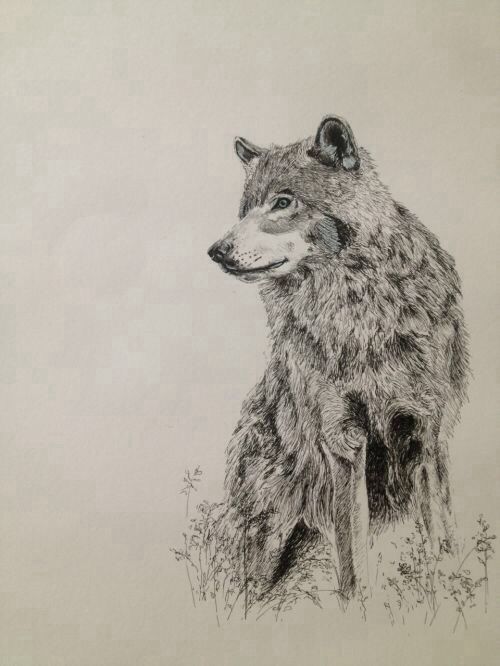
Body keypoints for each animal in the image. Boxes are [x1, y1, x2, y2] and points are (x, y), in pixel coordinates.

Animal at [207, 115, 469, 600]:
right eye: (244, 211)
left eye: (283, 202)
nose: (217, 251)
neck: (357, 313)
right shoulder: (342, 440)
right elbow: (353, 555)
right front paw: (358, 608)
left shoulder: (425, 433)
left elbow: (441, 540)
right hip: (267, 538)